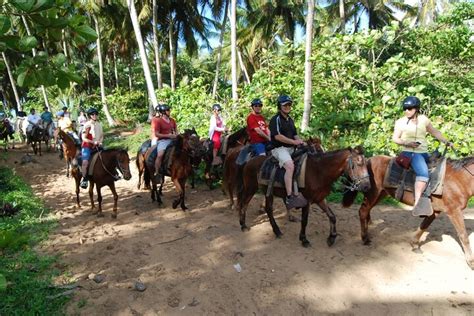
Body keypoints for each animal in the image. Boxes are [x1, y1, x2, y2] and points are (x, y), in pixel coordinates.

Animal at [236, 146, 370, 247]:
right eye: (357, 164)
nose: (366, 186)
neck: (319, 171)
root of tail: (249, 161)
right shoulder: (307, 200)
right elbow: (305, 221)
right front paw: (304, 239)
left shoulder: (320, 199)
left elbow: (332, 216)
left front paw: (331, 237)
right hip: (251, 188)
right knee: (244, 203)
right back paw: (243, 225)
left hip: (267, 191)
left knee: (267, 209)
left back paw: (276, 231)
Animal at [342, 155, 474, 270]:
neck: (459, 179)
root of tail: (369, 160)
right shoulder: (454, 211)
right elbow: (463, 236)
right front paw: (471, 262)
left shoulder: (435, 210)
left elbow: (424, 225)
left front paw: (414, 244)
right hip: (373, 194)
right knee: (363, 211)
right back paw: (365, 238)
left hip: (380, 194)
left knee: (367, 211)